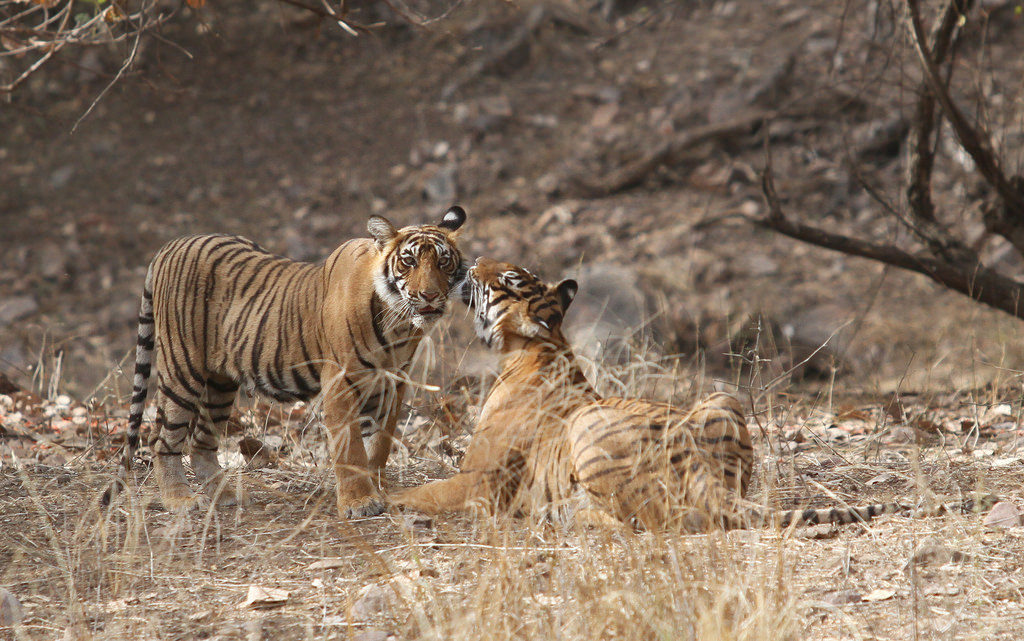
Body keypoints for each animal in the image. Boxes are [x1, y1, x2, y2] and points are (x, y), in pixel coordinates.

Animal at [104, 206, 468, 516]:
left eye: (443, 262)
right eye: (408, 262)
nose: (430, 296)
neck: (399, 325)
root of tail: (171, 244)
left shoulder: (392, 382)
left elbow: (378, 444)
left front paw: (378, 488)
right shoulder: (341, 381)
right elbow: (350, 446)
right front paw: (360, 502)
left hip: (219, 383)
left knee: (202, 441)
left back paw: (226, 495)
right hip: (183, 369)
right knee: (162, 439)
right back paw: (179, 500)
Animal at [393, 257, 913, 532]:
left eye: (507, 280)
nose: (472, 262)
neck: (535, 349)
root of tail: (699, 468)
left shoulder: (476, 481)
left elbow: (419, 491)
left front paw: (382, 498)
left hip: (590, 428)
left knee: (637, 521)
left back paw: (568, 517)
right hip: (722, 401)